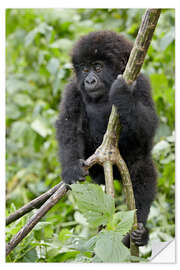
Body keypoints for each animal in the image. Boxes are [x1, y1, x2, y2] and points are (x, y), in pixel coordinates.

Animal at [56, 30, 158, 248]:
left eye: (98, 67)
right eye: (85, 69)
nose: (89, 81)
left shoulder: (141, 83)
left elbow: (148, 127)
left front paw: (123, 95)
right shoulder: (73, 89)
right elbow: (69, 126)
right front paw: (71, 168)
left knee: (142, 168)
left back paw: (138, 233)